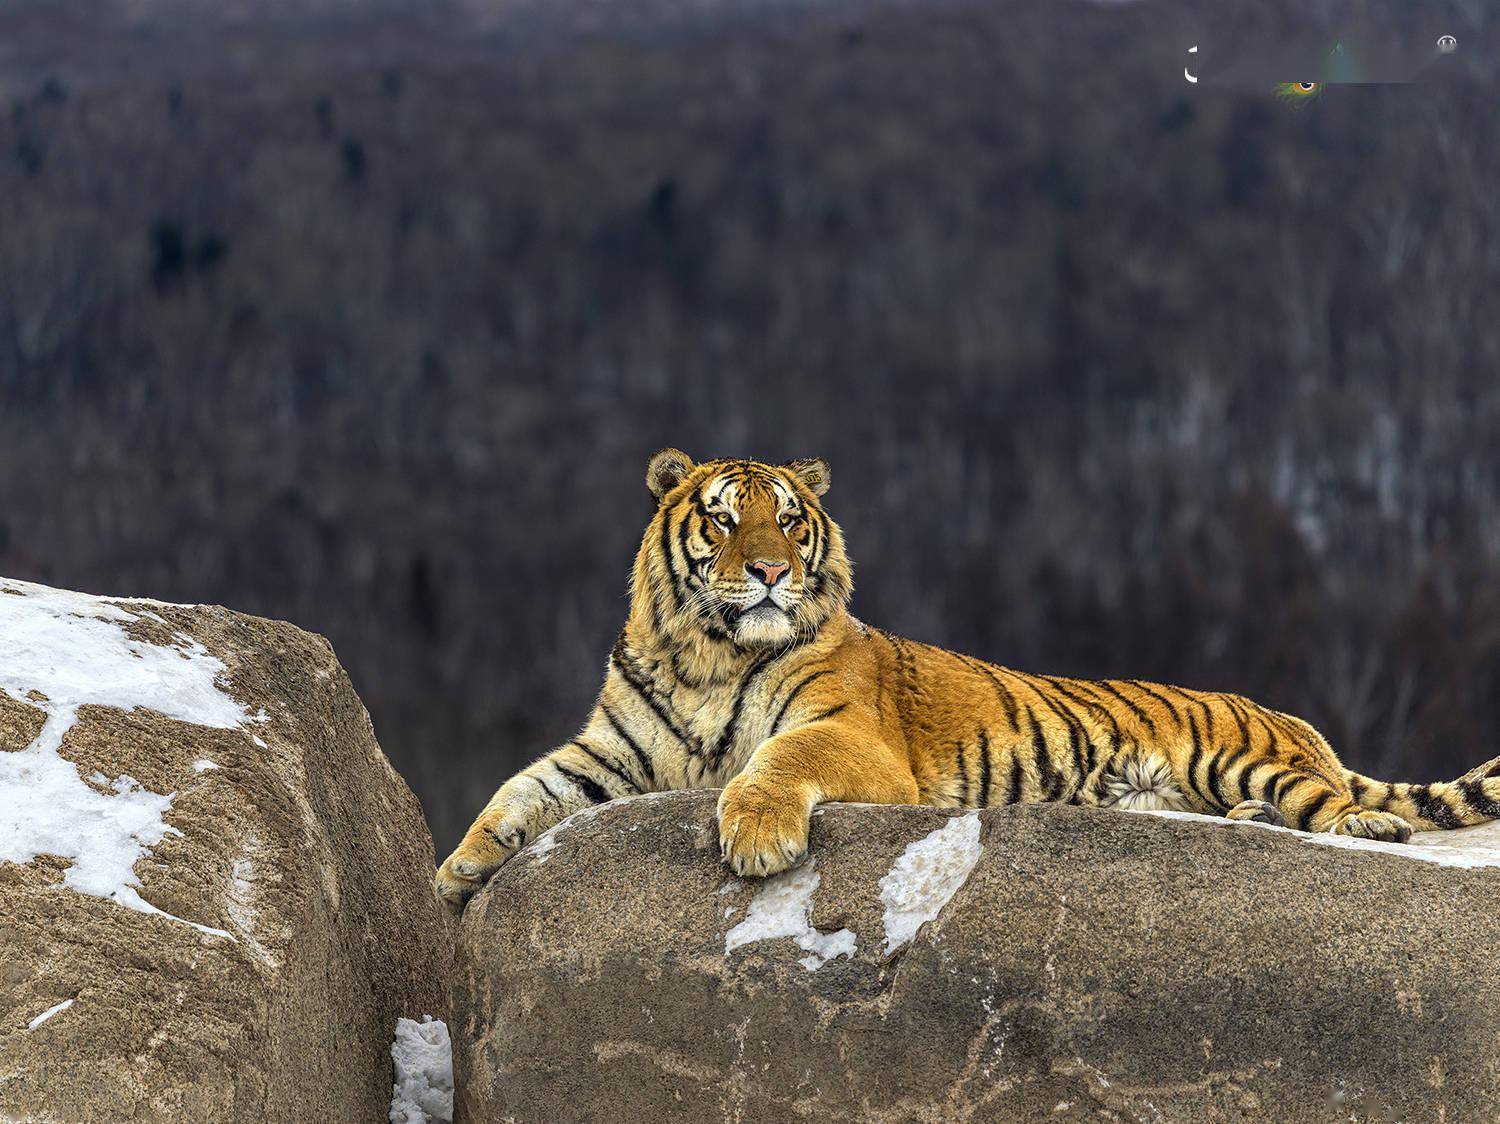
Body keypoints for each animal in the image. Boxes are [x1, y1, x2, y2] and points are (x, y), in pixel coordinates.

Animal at [429, 450, 1500, 912]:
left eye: (788, 519)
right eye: (727, 519)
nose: (770, 570)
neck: (708, 653)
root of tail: (1295, 720)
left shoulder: (848, 736)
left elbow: (775, 761)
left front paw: (758, 836)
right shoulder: (612, 752)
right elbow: (522, 788)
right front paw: (459, 871)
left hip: (1246, 757)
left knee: (1345, 806)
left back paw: (1364, 826)